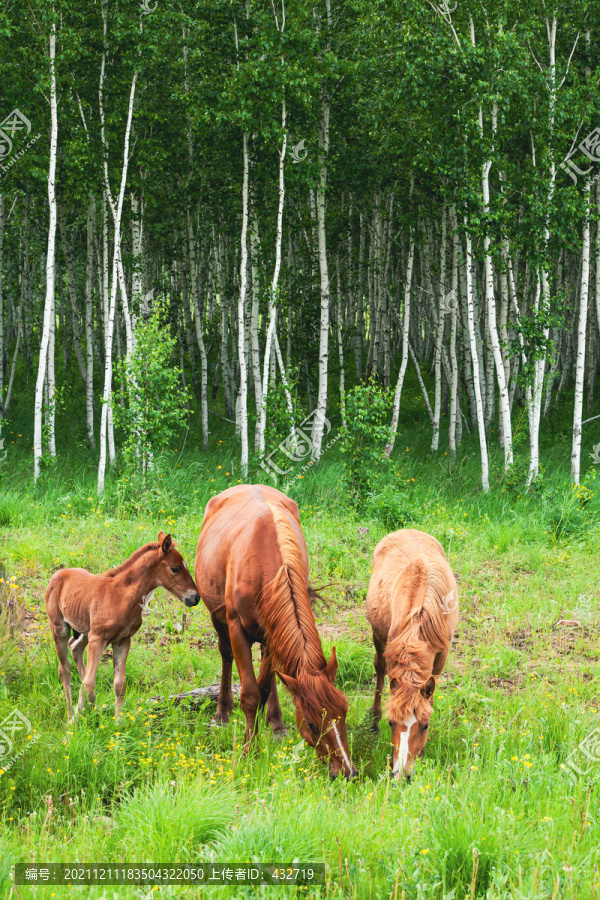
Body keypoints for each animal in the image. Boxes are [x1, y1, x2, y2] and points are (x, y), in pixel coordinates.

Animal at [45, 532, 199, 720]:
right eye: (175, 568)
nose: (195, 597)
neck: (121, 596)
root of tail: (58, 573)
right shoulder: (98, 639)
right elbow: (88, 682)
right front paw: (75, 720)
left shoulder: (122, 641)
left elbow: (119, 684)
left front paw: (117, 722)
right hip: (60, 628)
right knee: (64, 669)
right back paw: (69, 715)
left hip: (85, 630)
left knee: (75, 647)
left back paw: (90, 705)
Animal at [196, 486, 356, 780]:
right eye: (312, 724)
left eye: (344, 713)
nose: (347, 772)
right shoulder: (236, 626)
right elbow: (249, 694)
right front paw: (250, 751)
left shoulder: (273, 632)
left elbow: (264, 687)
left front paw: (265, 728)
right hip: (218, 617)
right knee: (225, 655)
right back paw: (222, 712)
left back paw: (277, 722)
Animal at [366, 528, 460, 780]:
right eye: (391, 723)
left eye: (425, 725)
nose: (402, 774)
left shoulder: (440, 657)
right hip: (378, 637)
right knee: (379, 670)